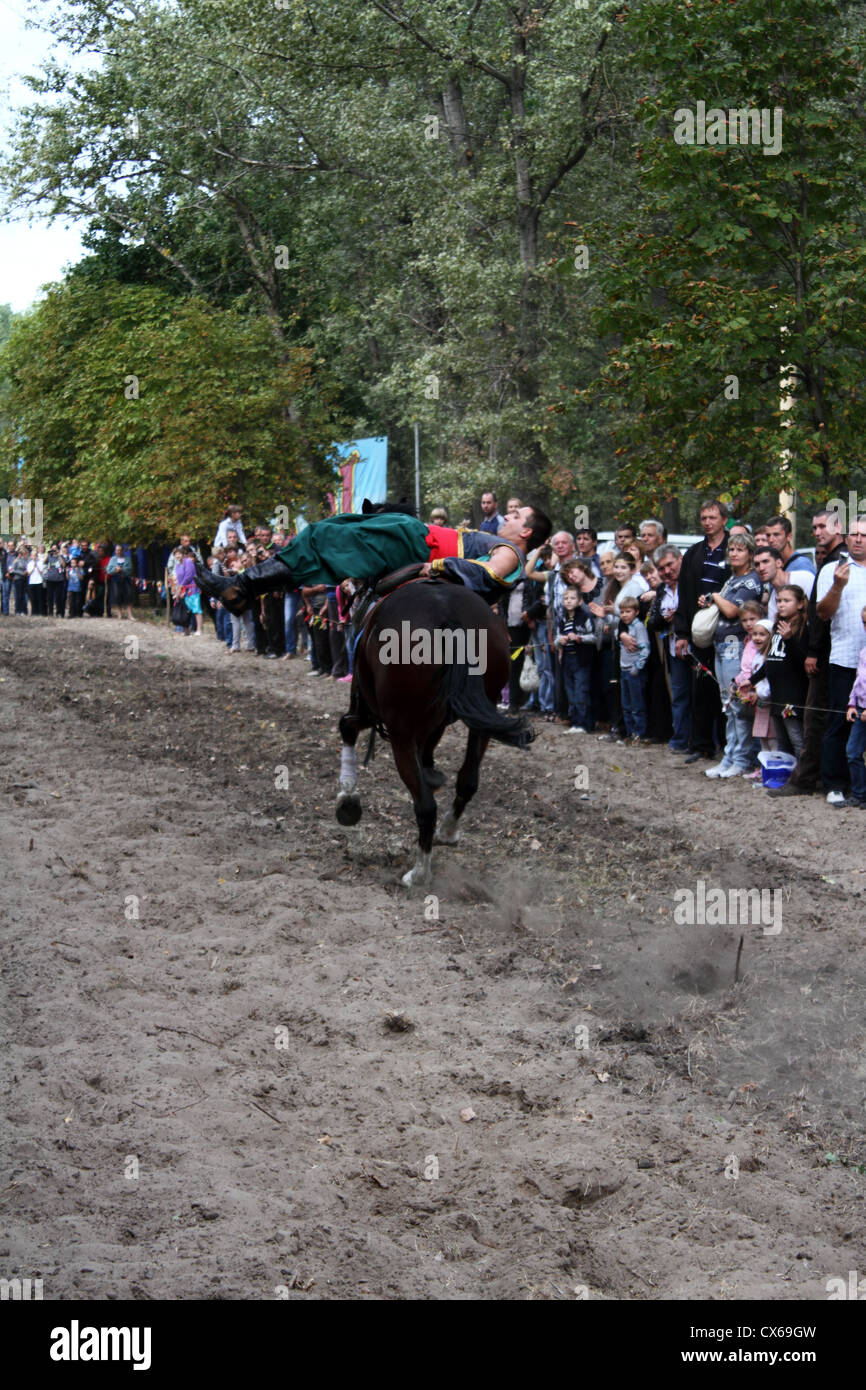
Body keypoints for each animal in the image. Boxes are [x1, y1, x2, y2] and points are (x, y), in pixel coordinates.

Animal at [333, 578, 530, 884]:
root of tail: (447, 615)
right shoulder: (434, 723)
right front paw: (434, 775)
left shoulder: (371, 713)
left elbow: (347, 727)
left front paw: (347, 800)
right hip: (483, 711)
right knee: (468, 780)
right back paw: (447, 831)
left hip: (400, 731)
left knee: (425, 806)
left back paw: (419, 873)